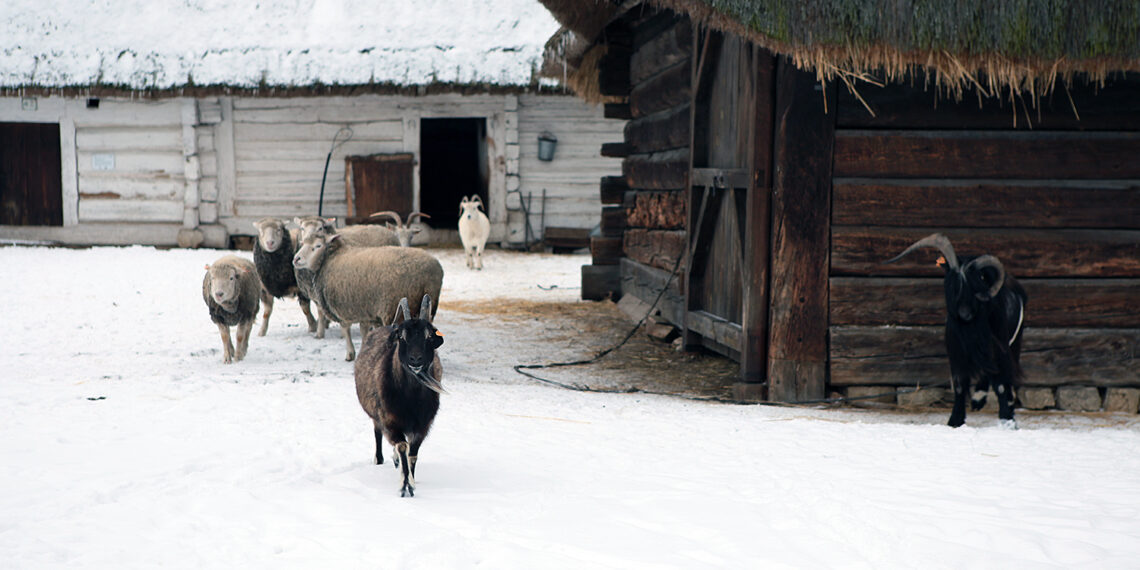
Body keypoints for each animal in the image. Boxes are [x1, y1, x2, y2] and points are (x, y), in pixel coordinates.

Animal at [291, 231, 442, 360]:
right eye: (303, 243)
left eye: (318, 245)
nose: (296, 259)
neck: (329, 259)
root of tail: (428, 274)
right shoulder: (365, 310)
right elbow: (364, 331)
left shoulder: (341, 306)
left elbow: (346, 329)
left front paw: (350, 354)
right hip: (428, 306)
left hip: (394, 308)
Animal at [353, 294, 442, 494]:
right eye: (402, 337)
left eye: (429, 336)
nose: (415, 360)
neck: (411, 400)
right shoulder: (390, 420)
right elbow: (402, 446)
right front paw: (404, 486)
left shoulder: (422, 425)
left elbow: (412, 454)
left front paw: (412, 482)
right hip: (376, 416)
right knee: (378, 433)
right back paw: (379, 459)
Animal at [884, 232, 1030, 428]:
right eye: (952, 283)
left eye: (976, 283)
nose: (964, 313)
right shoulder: (957, 351)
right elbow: (960, 384)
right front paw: (955, 420)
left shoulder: (998, 349)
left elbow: (1000, 384)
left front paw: (1007, 420)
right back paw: (977, 400)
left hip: (1014, 343)